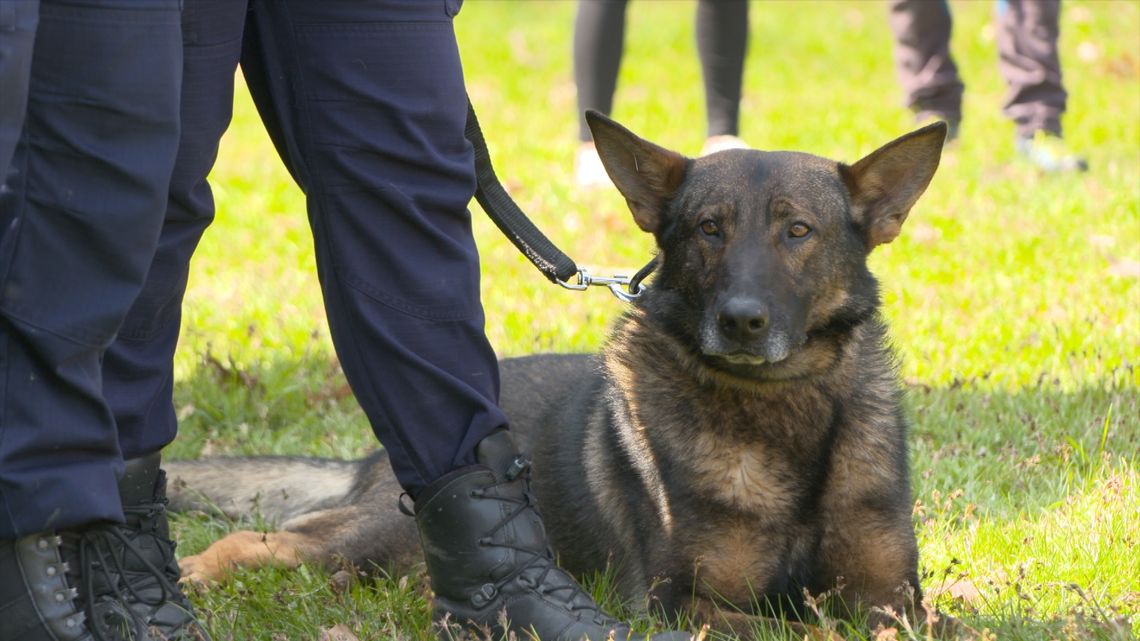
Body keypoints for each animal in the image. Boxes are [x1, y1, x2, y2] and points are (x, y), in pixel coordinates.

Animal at [165, 112, 943, 634]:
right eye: (708, 230)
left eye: (798, 230)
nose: (742, 321)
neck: (784, 413)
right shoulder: (686, 606)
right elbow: (801, 629)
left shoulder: (891, 598)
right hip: (383, 538)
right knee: (270, 540)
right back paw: (194, 571)